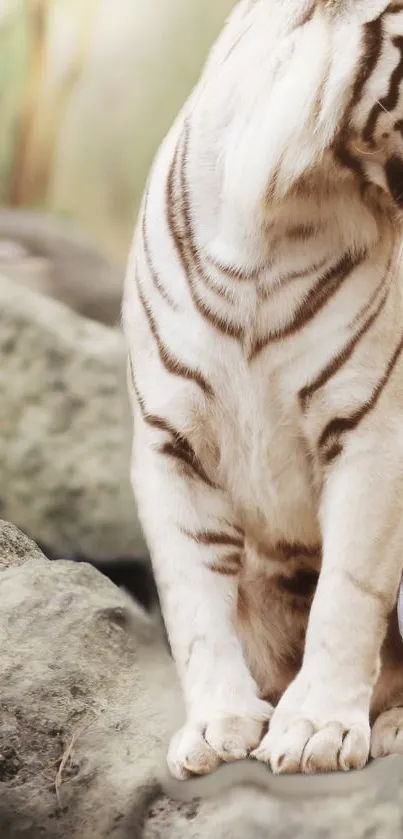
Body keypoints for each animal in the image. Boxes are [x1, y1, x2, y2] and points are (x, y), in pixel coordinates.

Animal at [121, 0, 403, 776]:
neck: (277, 219)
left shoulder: (373, 428)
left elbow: (348, 589)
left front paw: (314, 729)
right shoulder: (168, 441)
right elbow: (191, 597)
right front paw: (216, 726)